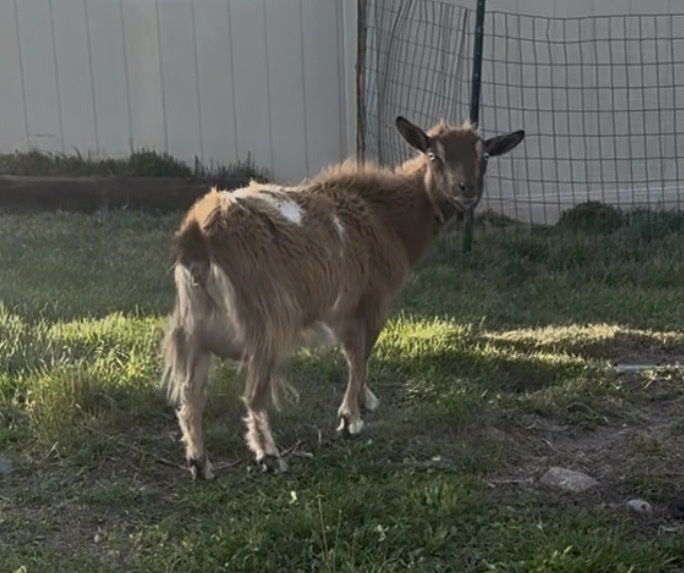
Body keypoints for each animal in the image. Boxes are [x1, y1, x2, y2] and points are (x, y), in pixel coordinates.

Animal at [162, 115, 524, 479]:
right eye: (434, 154)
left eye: (485, 156)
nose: (467, 190)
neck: (386, 217)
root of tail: (199, 234)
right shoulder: (371, 300)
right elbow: (360, 354)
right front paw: (351, 418)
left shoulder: (341, 310)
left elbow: (354, 354)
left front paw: (364, 401)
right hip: (265, 323)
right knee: (253, 395)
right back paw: (269, 456)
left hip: (194, 330)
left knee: (192, 395)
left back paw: (199, 461)